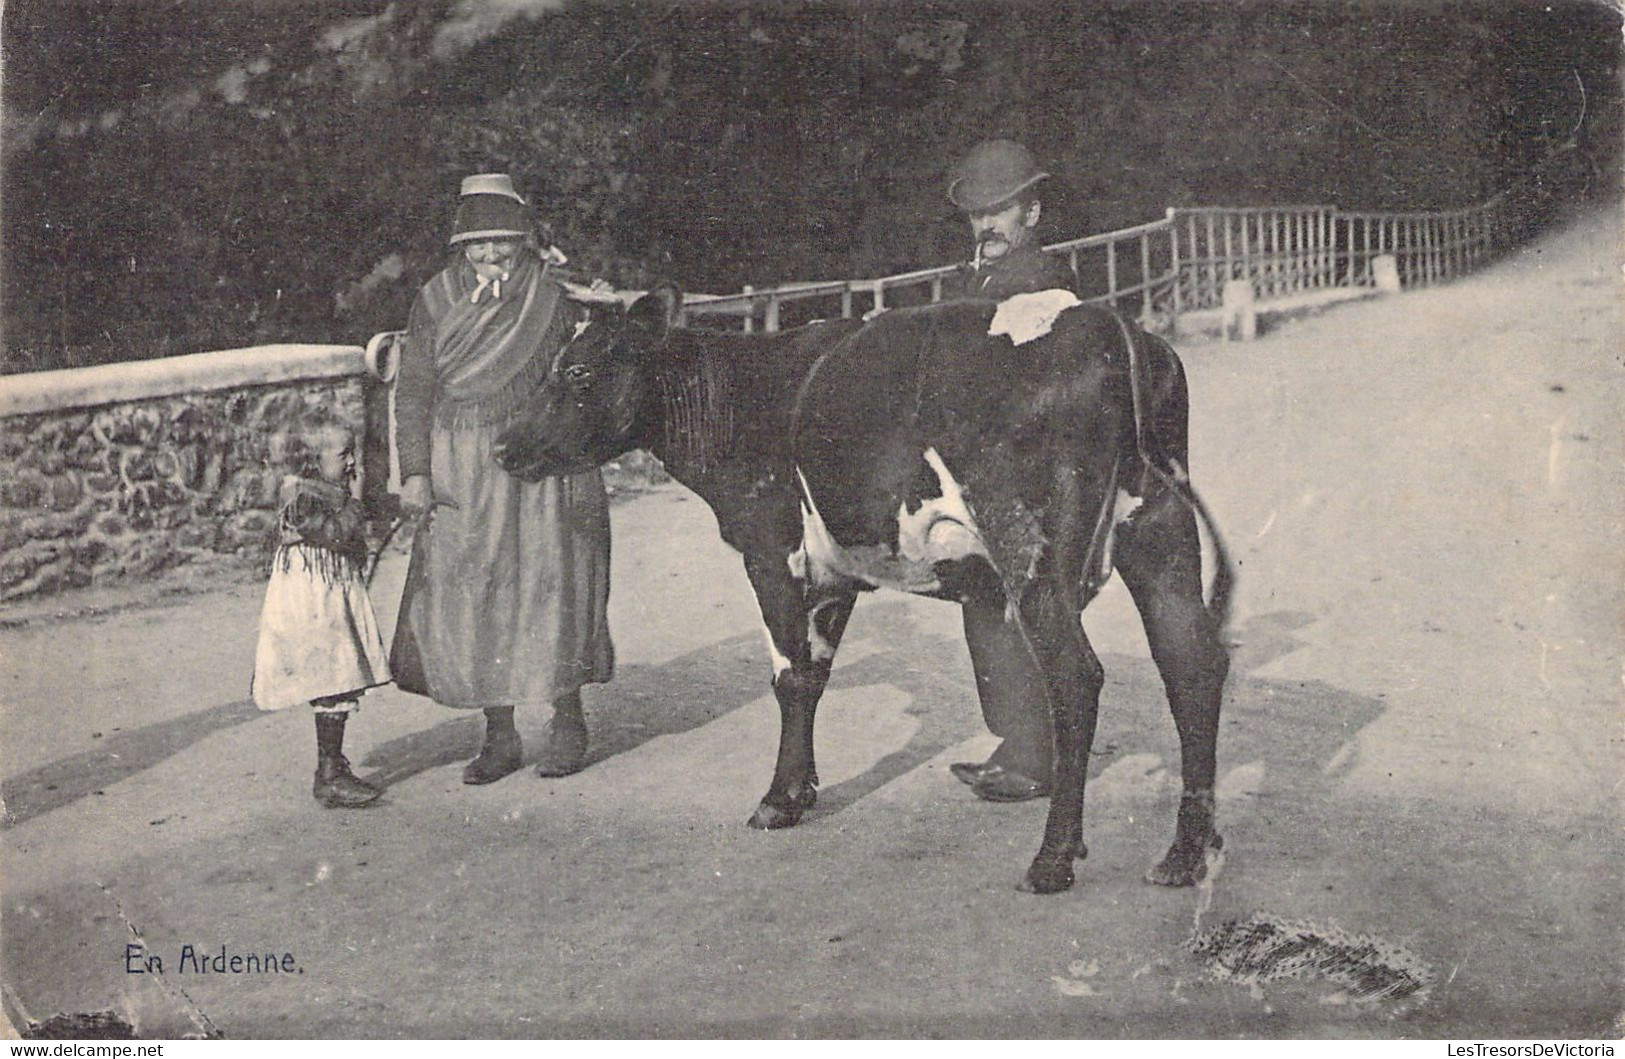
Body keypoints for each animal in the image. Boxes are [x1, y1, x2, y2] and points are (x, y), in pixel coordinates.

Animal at [494, 282, 1228, 896]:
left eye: (577, 372)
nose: (503, 445)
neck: (741, 393)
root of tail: (1105, 321)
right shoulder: (837, 569)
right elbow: (813, 677)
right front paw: (799, 791)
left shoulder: (771, 550)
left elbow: (789, 676)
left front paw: (776, 800)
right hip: (1159, 530)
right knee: (1191, 661)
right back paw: (1184, 855)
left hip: (1032, 552)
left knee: (1076, 677)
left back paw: (1052, 859)